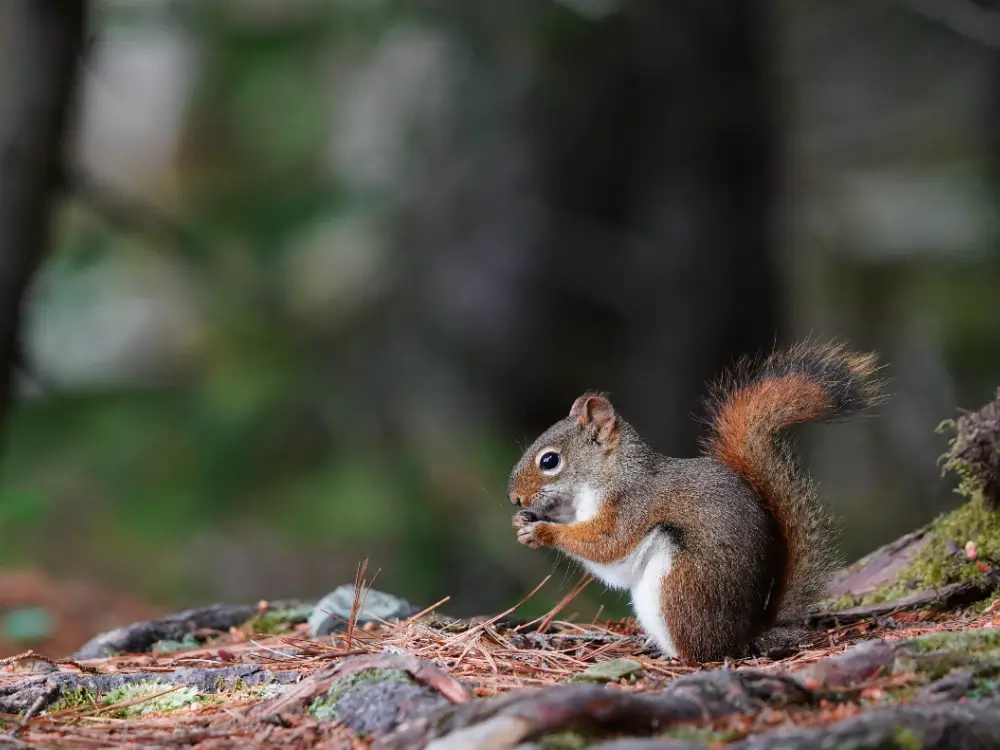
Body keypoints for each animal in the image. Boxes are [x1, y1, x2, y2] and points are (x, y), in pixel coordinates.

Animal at [507, 340, 884, 664]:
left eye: (550, 461)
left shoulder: (633, 506)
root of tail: (743, 637)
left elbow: (607, 546)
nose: (514, 499)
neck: (611, 475)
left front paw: (543, 532)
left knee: (698, 653)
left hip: (679, 588)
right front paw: (523, 523)